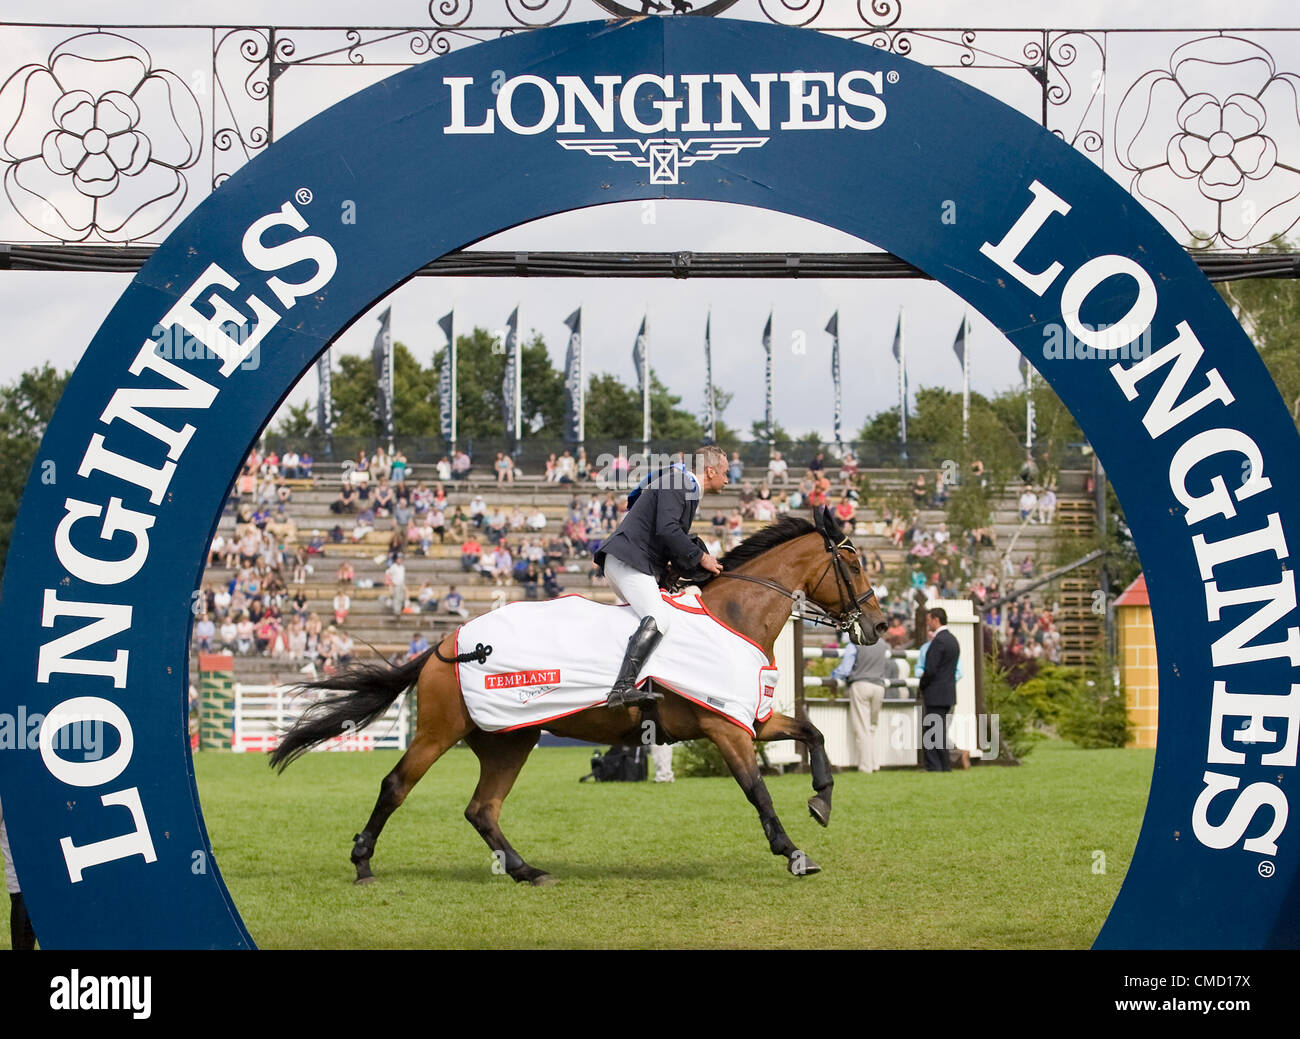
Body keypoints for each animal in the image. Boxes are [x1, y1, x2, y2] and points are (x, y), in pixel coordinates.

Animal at [269, 507, 889, 884]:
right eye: (854, 561)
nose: (880, 626)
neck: (733, 616)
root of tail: (446, 642)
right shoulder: (723, 729)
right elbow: (757, 791)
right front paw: (793, 852)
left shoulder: (749, 720)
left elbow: (813, 733)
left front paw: (821, 802)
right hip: (442, 730)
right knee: (396, 786)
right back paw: (363, 863)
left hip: (509, 740)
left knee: (482, 808)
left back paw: (525, 870)